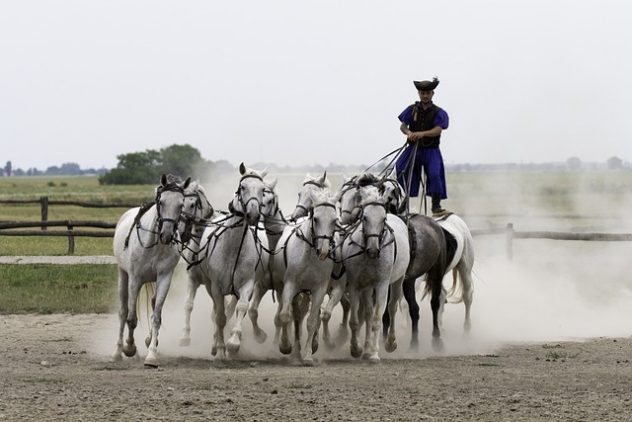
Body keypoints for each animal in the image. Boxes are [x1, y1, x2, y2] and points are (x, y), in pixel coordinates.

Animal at [112, 174, 190, 366]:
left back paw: (149, 341)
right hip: (123, 275)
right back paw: (117, 352)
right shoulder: (135, 279)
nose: (167, 235)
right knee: (123, 312)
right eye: (161, 202)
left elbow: (156, 317)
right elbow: (131, 318)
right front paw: (129, 348)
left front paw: (152, 355)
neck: (154, 244)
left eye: (181, 205)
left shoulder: (164, 278)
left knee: (153, 304)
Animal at [272, 190, 340, 364]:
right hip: (286, 288)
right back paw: (294, 349)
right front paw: (285, 346)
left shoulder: (318, 289)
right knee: (294, 315)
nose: (324, 251)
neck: (310, 256)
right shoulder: (290, 285)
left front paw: (308, 354)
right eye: (316, 218)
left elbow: (311, 321)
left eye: (334, 220)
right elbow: (285, 315)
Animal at [340, 186, 410, 362]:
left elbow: (377, 319)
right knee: (367, 313)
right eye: (364, 217)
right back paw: (365, 349)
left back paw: (390, 343)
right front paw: (357, 349)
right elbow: (356, 320)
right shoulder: (356, 285)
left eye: (383, 219)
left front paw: (374, 354)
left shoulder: (382, 284)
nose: (373, 250)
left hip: (397, 281)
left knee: (391, 307)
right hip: (367, 287)